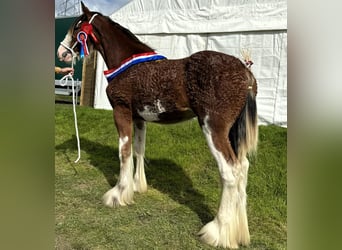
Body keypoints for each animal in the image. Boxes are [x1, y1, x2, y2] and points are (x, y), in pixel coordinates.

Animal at [57, 1, 258, 248]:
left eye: (77, 27)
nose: (62, 53)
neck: (127, 64)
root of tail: (245, 72)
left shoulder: (121, 112)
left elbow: (124, 151)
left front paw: (117, 194)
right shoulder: (139, 119)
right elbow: (138, 151)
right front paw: (136, 186)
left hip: (214, 129)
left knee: (230, 172)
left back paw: (217, 231)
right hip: (232, 133)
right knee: (243, 168)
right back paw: (238, 231)